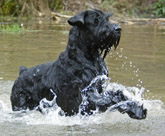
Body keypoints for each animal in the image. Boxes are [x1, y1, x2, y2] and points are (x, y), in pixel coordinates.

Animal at [10, 9, 147, 119]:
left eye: (107, 18)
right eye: (96, 20)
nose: (118, 29)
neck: (89, 56)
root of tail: (22, 72)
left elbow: (117, 95)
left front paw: (137, 108)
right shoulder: (86, 94)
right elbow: (109, 99)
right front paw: (134, 108)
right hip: (20, 104)